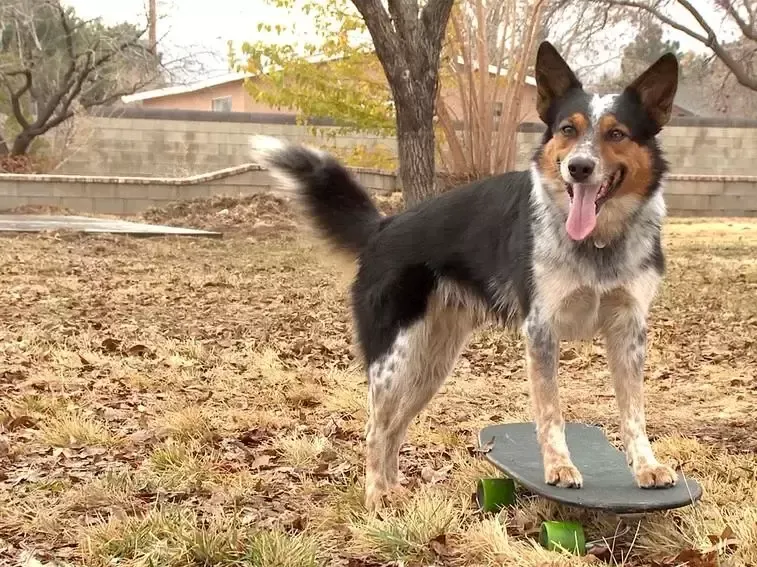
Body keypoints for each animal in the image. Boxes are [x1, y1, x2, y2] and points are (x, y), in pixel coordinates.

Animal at [251, 40, 684, 510]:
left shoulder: (629, 330)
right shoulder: (541, 331)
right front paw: (559, 467)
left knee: (395, 428)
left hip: (431, 366)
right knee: (375, 430)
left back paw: (395, 492)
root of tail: (385, 226)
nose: (579, 168)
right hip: (394, 363)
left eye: (617, 134)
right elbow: (551, 412)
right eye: (568, 129)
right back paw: (375, 497)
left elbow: (634, 411)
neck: (600, 243)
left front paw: (646, 466)